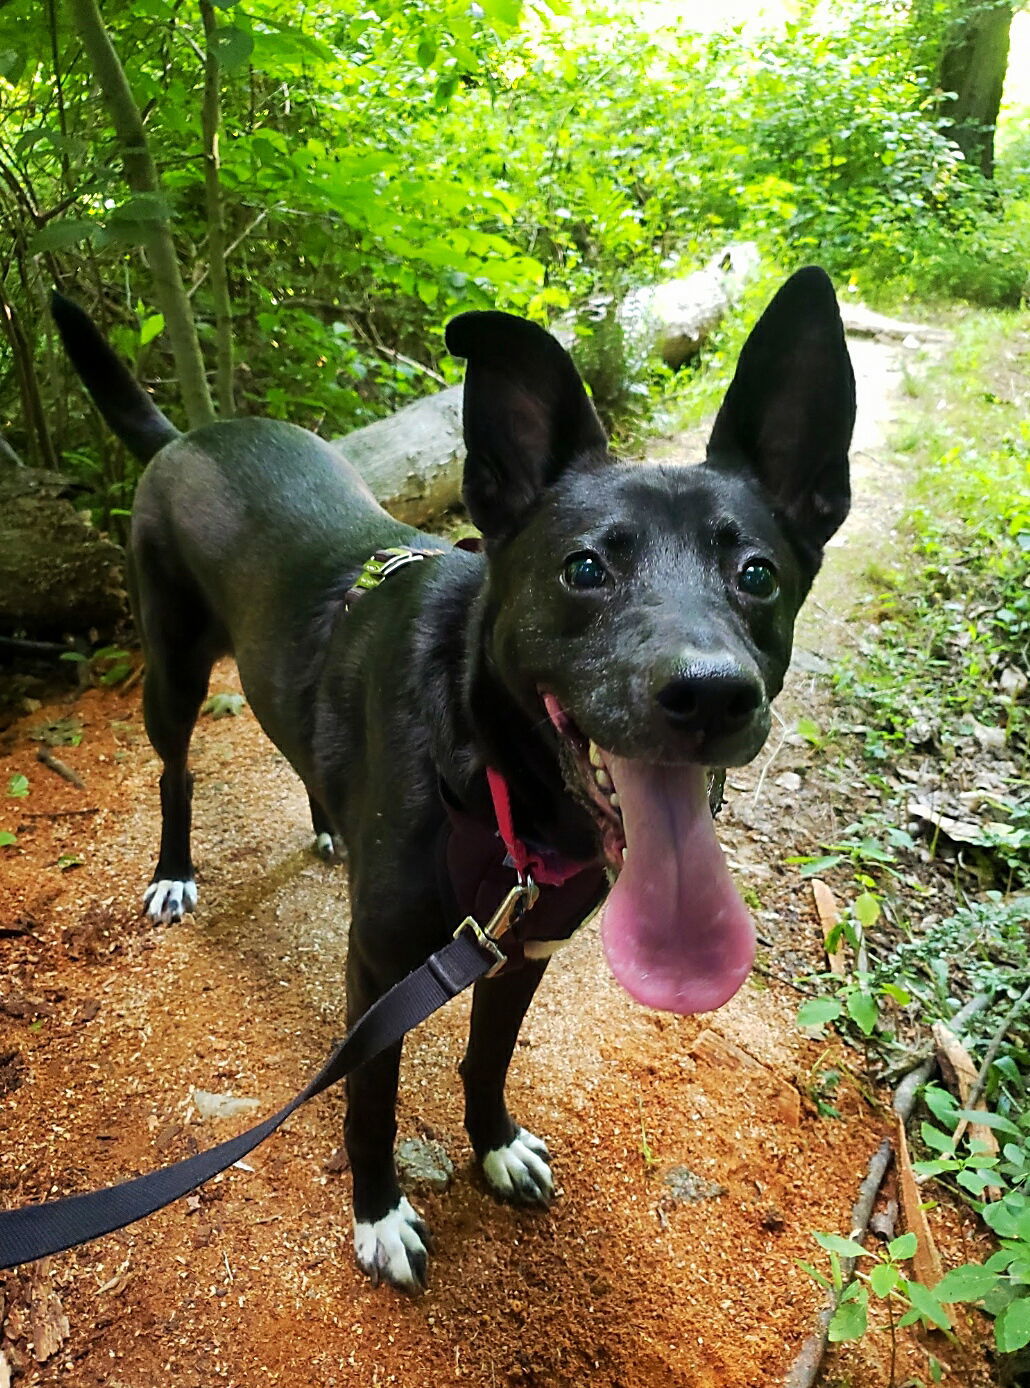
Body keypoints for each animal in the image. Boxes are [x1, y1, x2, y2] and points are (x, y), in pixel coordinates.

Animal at [52, 267, 860, 1288]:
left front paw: (496, 1145)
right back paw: (173, 872)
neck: (498, 786)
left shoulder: (522, 947)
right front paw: (377, 1213)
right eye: (584, 568)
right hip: (172, 669)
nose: (712, 694)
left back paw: (328, 822)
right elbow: (370, 1102)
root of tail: (183, 437)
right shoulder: (381, 966)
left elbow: (488, 1060)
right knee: (175, 771)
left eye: (757, 574)